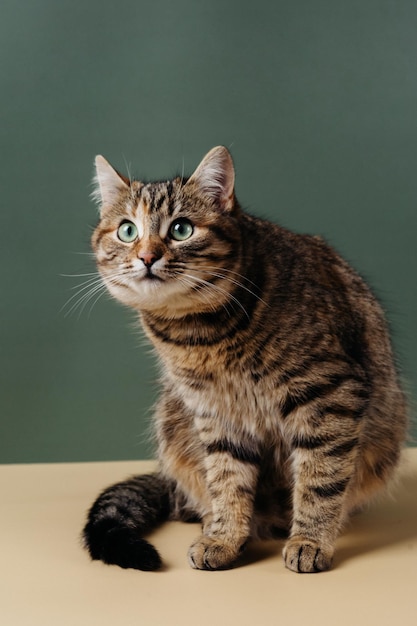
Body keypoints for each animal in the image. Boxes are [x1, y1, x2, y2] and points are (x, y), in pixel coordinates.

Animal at [82, 145, 406, 572]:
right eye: (127, 230)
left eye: (181, 229)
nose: (147, 256)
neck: (198, 335)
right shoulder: (213, 412)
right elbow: (227, 479)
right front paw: (224, 536)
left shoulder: (329, 393)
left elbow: (320, 477)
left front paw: (309, 540)